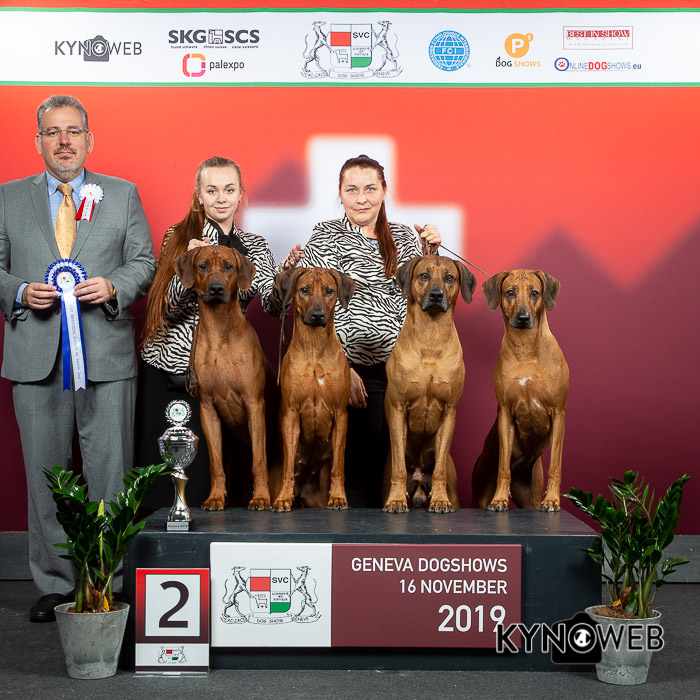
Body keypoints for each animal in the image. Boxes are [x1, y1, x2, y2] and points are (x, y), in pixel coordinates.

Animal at [174, 246, 272, 511]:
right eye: (203, 266)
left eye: (229, 266)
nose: (216, 288)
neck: (220, 332)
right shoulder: (207, 408)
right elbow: (215, 463)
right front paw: (215, 497)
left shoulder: (254, 404)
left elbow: (259, 460)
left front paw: (261, 497)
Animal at [271, 267, 356, 511]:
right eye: (304, 290)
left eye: (329, 291)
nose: (318, 315)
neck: (314, 348)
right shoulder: (291, 413)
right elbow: (289, 466)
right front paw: (283, 498)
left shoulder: (340, 415)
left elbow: (338, 466)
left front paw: (338, 496)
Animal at [383, 255, 476, 513]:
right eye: (424, 275)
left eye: (449, 277)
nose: (436, 295)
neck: (431, 340)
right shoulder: (398, 407)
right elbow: (398, 466)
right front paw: (396, 500)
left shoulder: (449, 411)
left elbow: (440, 468)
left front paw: (440, 500)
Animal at [471, 269, 569, 512]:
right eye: (510, 292)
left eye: (535, 293)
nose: (523, 318)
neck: (526, 350)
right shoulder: (506, 413)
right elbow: (503, 466)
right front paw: (499, 499)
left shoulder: (558, 412)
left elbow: (555, 465)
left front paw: (552, 499)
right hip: (480, 492)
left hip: (530, 494)